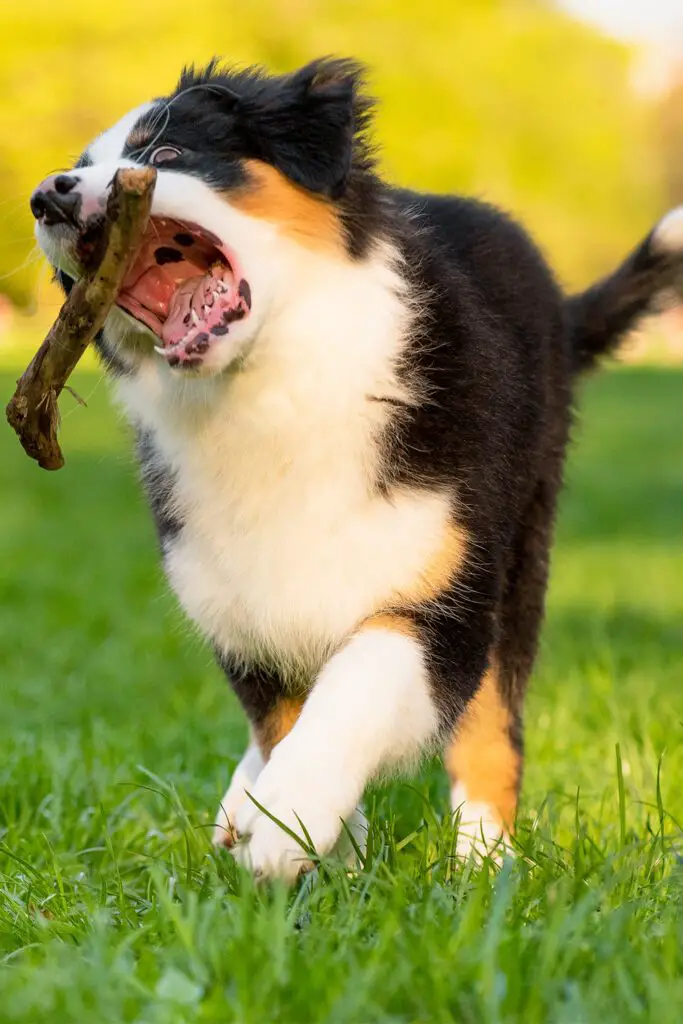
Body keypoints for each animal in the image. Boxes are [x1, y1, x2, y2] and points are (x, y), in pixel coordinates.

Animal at [29, 59, 683, 884]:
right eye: (78, 168)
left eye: (167, 152)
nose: (48, 195)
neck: (272, 391)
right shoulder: (240, 608)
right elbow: (281, 719)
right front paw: (328, 852)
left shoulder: (444, 593)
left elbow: (359, 682)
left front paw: (292, 818)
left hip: (520, 548)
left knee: (492, 720)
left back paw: (483, 863)